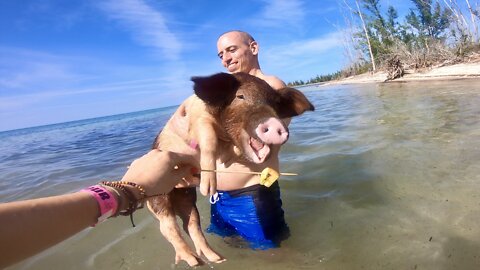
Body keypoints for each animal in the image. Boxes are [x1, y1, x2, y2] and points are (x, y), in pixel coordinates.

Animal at [145, 71, 316, 266]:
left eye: (274, 103)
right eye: (240, 96)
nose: (275, 124)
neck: (225, 136)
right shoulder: (200, 117)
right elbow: (209, 140)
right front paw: (207, 188)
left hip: (186, 198)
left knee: (191, 225)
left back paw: (214, 259)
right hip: (158, 196)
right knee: (168, 226)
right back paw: (193, 260)